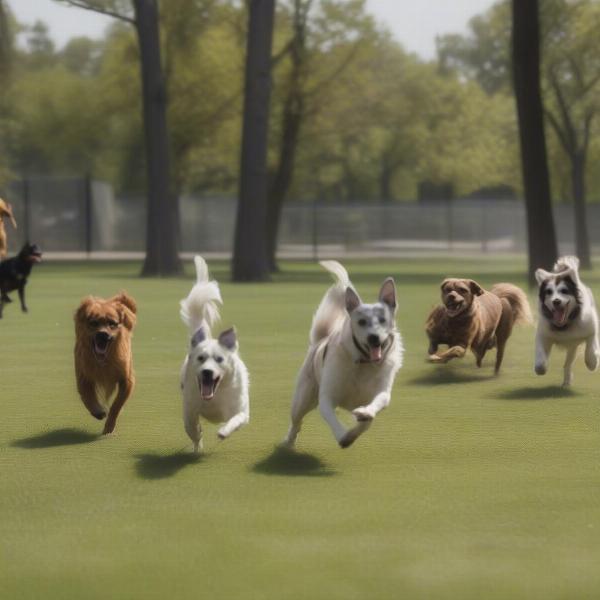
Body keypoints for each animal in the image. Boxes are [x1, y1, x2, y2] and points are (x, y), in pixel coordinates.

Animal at [74, 292, 138, 434]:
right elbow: (87, 398)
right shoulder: (83, 377)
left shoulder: (127, 380)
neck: (103, 360)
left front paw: (109, 426)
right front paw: (98, 411)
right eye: (93, 323)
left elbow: (116, 405)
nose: (102, 334)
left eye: (112, 323)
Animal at [180, 255, 251, 452]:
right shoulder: (189, 408)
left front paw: (223, 432)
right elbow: (191, 427)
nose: (207, 372)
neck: (214, 396)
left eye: (219, 359)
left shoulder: (241, 411)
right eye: (200, 358)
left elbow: (235, 420)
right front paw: (198, 440)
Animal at [284, 260, 406, 448]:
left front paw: (364, 414)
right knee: (296, 421)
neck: (364, 363)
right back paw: (289, 442)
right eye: (361, 322)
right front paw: (344, 436)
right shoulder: (326, 398)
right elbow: (332, 418)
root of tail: (320, 340)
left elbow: (372, 411)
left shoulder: (382, 392)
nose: (373, 337)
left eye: (382, 320)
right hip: (303, 399)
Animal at [536, 255, 600, 386]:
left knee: (568, 363)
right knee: (567, 364)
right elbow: (540, 356)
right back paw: (566, 380)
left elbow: (590, 349)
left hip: (573, 345)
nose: (556, 301)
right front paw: (541, 367)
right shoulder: (544, 333)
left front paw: (592, 362)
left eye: (564, 291)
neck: (565, 325)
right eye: (548, 292)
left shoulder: (591, 328)